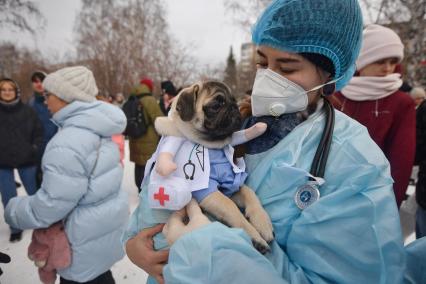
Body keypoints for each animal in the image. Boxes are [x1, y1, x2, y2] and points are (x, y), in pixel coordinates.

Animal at [155, 80, 274, 253]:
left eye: (234, 101)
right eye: (216, 105)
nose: (234, 107)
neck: (212, 147)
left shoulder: (231, 186)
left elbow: (250, 193)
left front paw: (262, 223)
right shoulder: (209, 193)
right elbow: (231, 208)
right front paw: (255, 237)